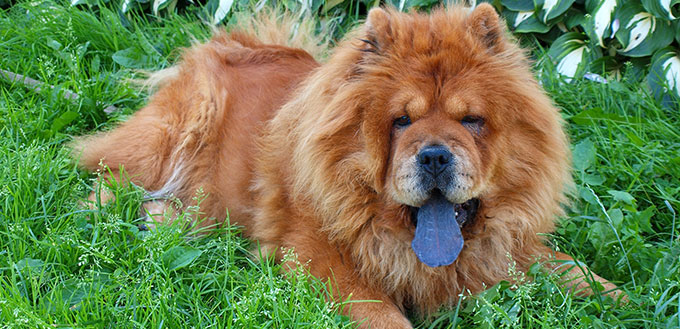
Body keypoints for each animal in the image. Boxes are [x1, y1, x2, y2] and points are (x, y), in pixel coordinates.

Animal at [71, 3, 624, 326]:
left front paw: (626, 299)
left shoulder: (511, 246)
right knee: (104, 174)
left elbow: (573, 269)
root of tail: (234, 43)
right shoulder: (316, 255)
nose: (435, 155)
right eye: (401, 121)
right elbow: (382, 315)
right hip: (176, 133)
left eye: (471, 120)